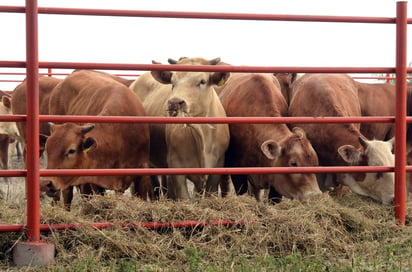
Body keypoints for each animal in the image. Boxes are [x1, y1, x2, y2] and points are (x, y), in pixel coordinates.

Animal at [39, 69, 153, 204]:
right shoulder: (95, 180)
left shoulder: (142, 174)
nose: (46, 183)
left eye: (71, 151)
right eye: (48, 149)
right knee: (68, 194)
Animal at [129, 56, 230, 200]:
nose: (174, 102)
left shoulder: (218, 165)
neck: (201, 135)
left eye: (202, 81)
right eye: (172, 82)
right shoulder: (176, 165)